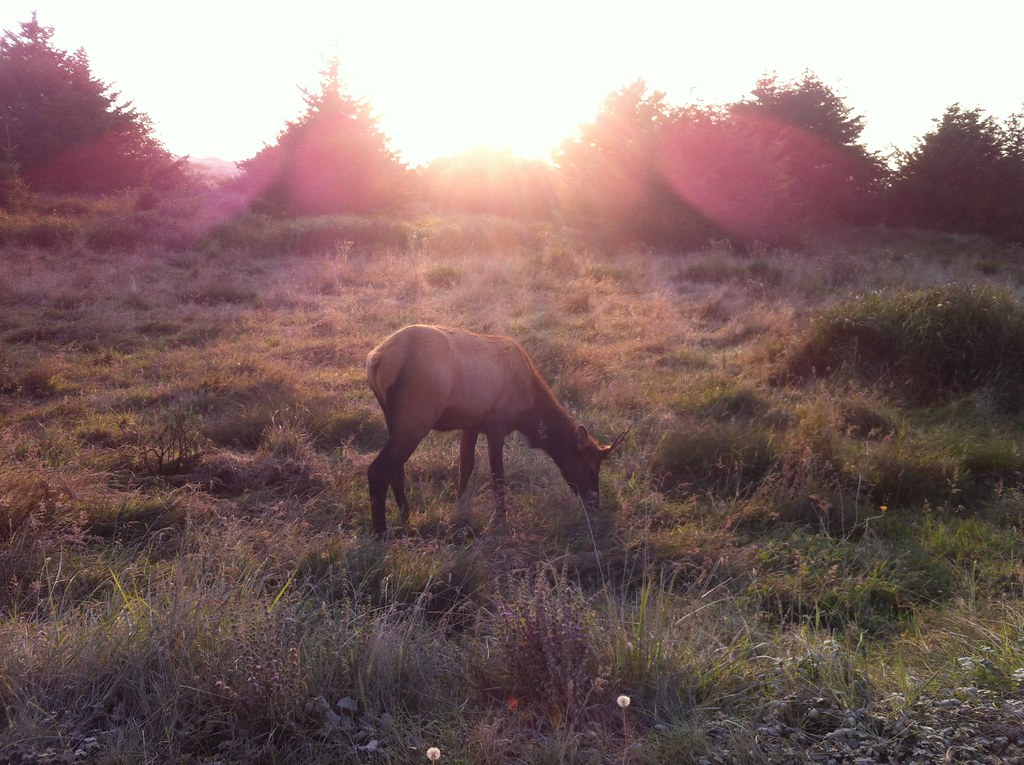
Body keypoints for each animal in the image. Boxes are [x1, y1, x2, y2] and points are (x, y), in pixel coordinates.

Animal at [366, 324, 629, 536]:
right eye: (591, 469)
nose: (595, 503)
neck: (529, 412)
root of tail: (375, 359)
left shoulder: (471, 424)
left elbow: (466, 465)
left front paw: (459, 505)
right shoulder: (497, 425)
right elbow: (498, 474)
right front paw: (500, 519)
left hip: (394, 420)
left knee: (396, 470)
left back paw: (406, 515)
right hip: (415, 419)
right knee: (378, 470)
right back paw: (380, 534)